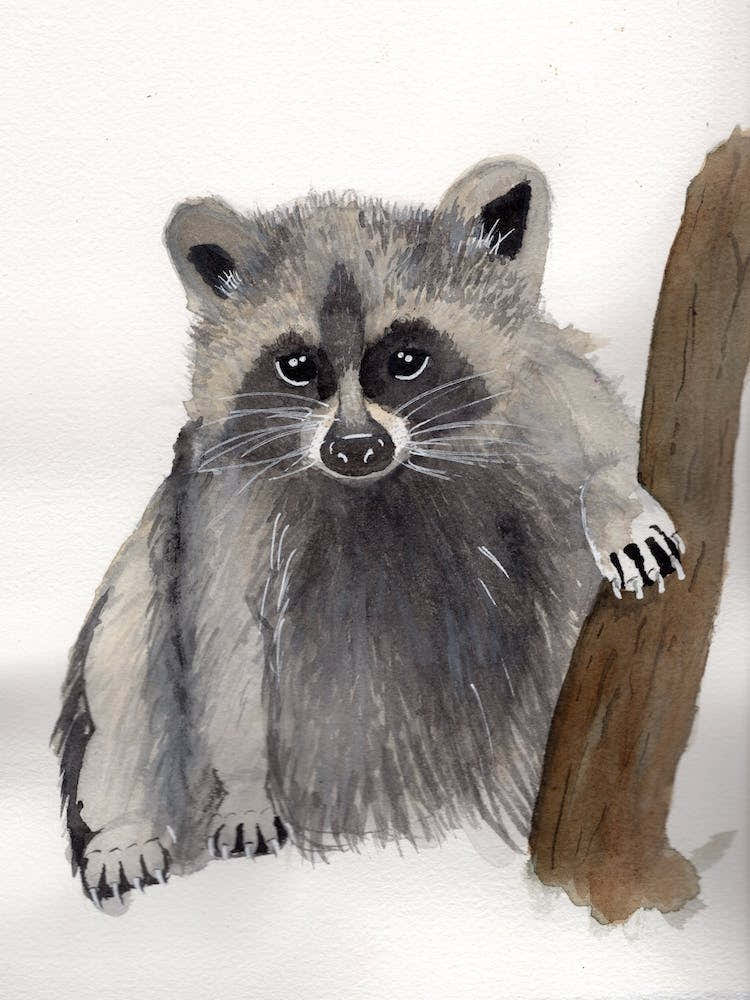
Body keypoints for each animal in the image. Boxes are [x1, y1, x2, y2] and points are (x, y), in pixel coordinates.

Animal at [52, 157, 685, 910]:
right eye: (298, 367)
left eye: (407, 359)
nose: (355, 448)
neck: (379, 485)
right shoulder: (222, 497)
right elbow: (226, 642)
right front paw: (246, 788)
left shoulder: (535, 394)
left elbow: (595, 435)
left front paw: (618, 499)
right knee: (125, 645)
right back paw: (124, 826)